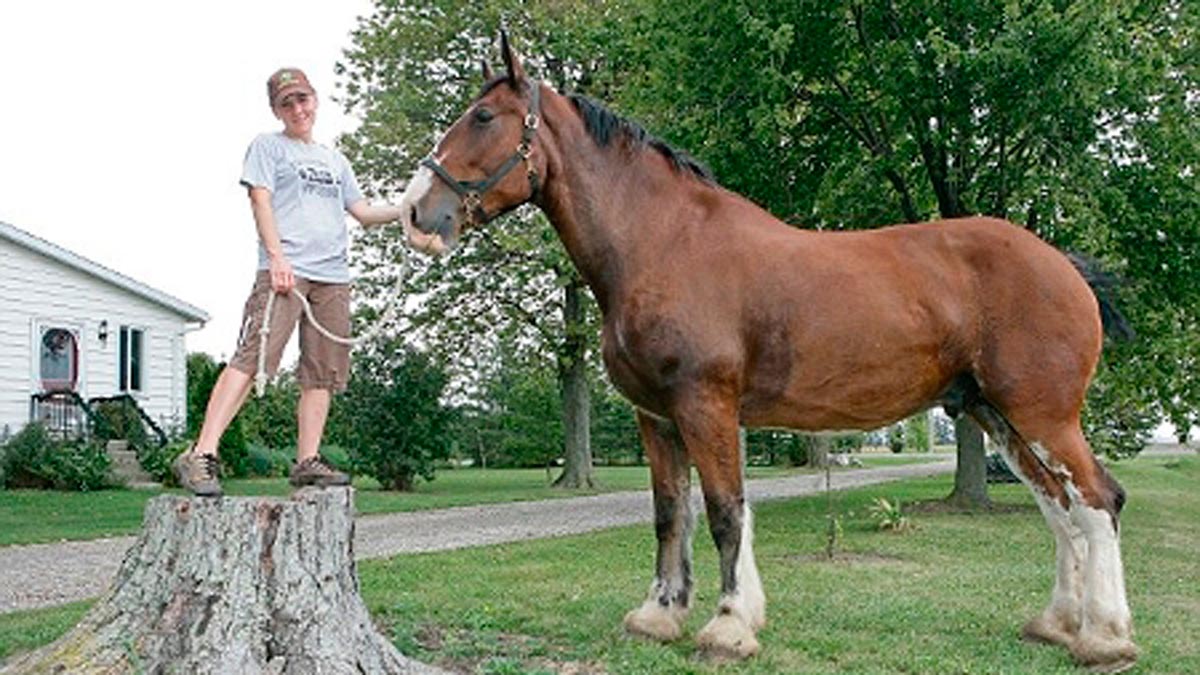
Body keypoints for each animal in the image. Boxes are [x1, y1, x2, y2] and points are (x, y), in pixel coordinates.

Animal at [398, 33, 1139, 672]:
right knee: (1059, 508)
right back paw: (1056, 623)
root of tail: (1066, 267)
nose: (416, 213)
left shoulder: (706, 405)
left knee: (1098, 500)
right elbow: (670, 514)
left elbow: (727, 512)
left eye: (482, 116)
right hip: (997, 415)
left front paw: (728, 627)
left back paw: (1104, 637)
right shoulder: (656, 417)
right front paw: (660, 614)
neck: (663, 243)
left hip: (1042, 414)